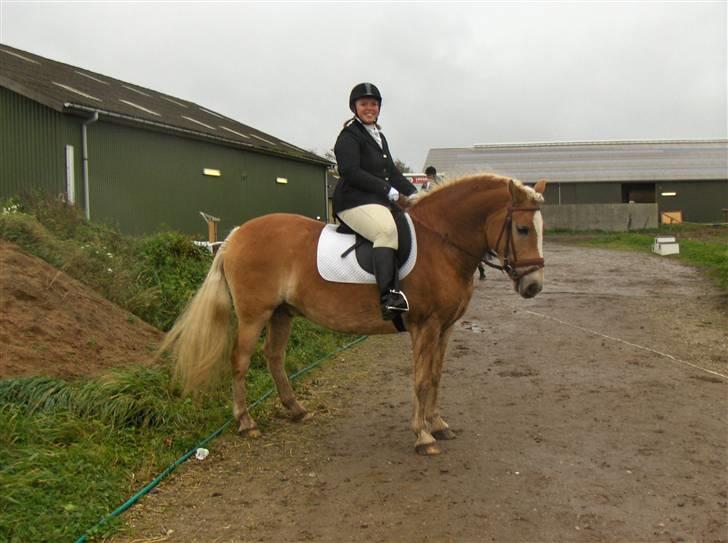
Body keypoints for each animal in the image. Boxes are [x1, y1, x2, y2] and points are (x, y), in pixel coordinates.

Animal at [161, 173, 544, 454]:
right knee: (240, 361)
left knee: (274, 356)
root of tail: (237, 234)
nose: (534, 286)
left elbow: (435, 376)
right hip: (254, 315)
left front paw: (438, 425)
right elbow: (421, 378)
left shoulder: (446, 327)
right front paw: (422, 436)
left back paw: (296, 409)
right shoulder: (426, 326)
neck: (442, 244)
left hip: (282, 313)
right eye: (523, 229)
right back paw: (246, 422)